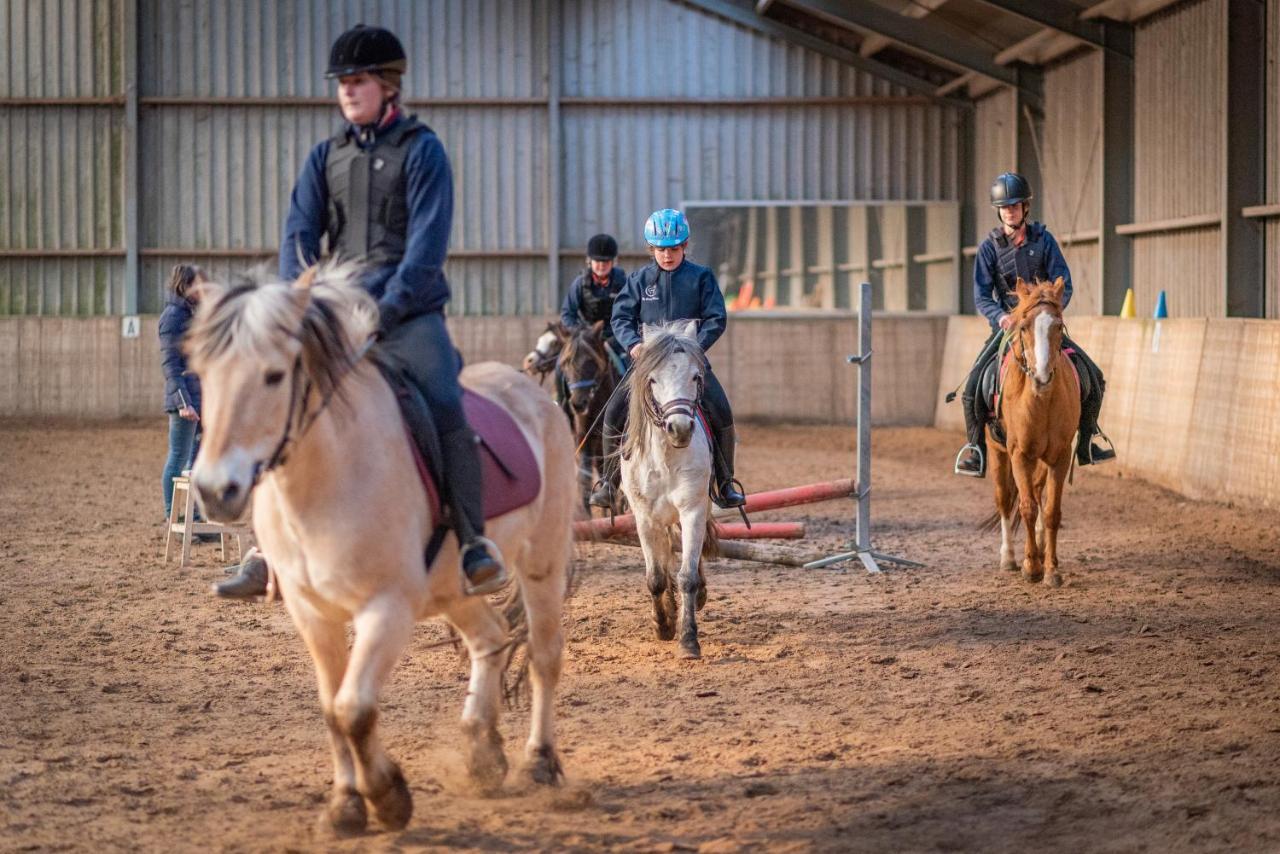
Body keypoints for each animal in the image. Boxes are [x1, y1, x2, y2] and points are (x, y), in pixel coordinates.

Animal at [988, 280, 1080, 588]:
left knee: (1039, 494)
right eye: (1024, 326)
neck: (1041, 401)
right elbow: (1026, 507)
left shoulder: (1060, 456)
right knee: (1005, 499)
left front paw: (1051, 570)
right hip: (996, 452)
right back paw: (1008, 558)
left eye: (1059, 326)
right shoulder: (1019, 454)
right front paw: (1031, 567)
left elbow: (1051, 512)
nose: (1041, 377)